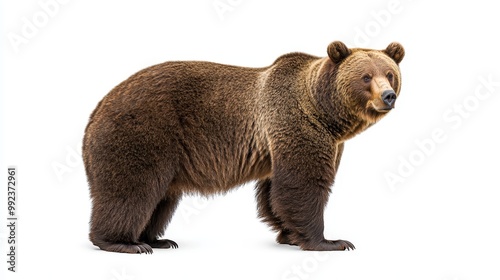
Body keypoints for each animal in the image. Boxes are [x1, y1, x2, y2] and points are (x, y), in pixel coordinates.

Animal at [81, 41, 402, 254]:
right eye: (366, 76)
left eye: (390, 73)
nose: (388, 96)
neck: (325, 114)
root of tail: (96, 110)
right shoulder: (296, 124)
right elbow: (303, 184)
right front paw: (331, 241)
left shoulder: (300, 142)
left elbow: (274, 192)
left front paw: (289, 234)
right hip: (143, 132)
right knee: (131, 189)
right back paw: (124, 242)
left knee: (160, 198)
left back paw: (157, 240)